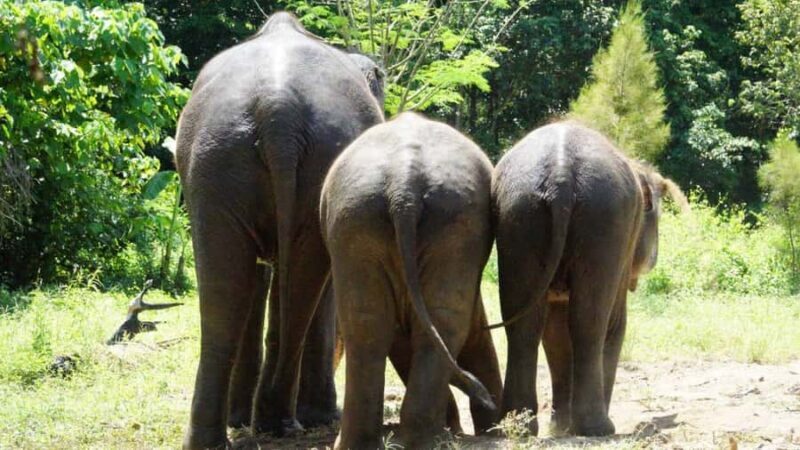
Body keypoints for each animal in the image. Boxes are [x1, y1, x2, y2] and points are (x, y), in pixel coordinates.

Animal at [174, 12, 384, 449]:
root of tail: (278, 110)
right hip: (299, 158)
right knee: (297, 283)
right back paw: (284, 421)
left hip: (214, 164)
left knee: (225, 289)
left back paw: (237, 429)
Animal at [320, 112, 501, 449]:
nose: (488, 400)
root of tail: (403, 184)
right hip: (422, 221)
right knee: (431, 323)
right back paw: (430, 437)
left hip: (360, 221)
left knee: (370, 323)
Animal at [490, 122, 687, 437]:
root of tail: (560, 175)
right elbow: (613, 322)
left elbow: (555, 331)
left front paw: (559, 428)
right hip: (605, 220)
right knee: (593, 321)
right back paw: (599, 427)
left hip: (518, 213)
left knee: (524, 323)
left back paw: (519, 428)